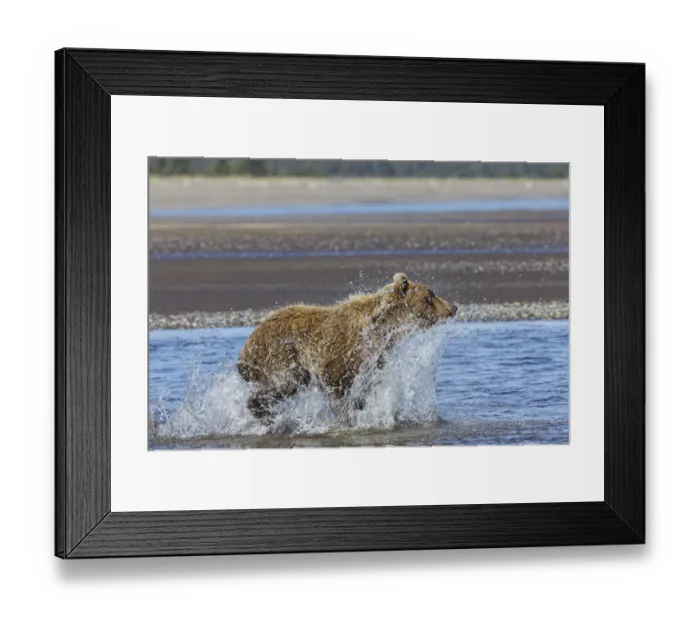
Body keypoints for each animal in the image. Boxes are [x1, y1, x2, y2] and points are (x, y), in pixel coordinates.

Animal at [236, 273, 457, 423]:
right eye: (431, 295)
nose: (453, 307)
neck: (383, 327)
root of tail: (245, 349)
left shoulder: (374, 358)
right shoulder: (343, 354)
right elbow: (339, 388)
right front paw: (347, 418)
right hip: (280, 354)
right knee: (281, 385)